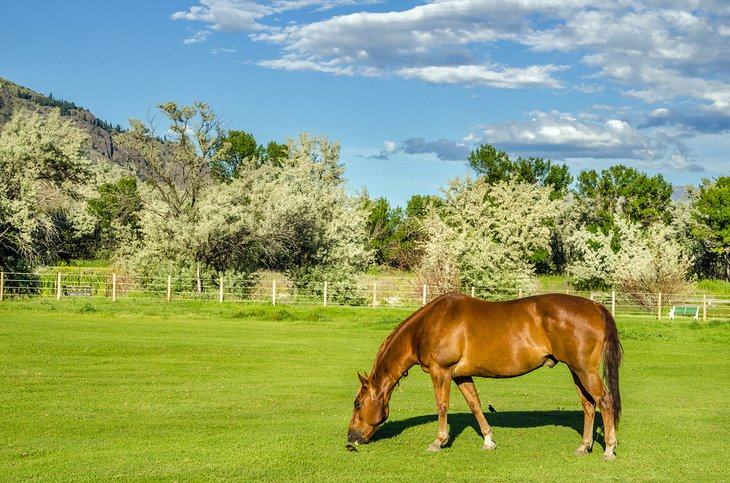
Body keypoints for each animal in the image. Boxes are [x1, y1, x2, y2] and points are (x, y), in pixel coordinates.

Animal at [346, 294, 620, 460]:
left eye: (358, 404)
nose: (351, 438)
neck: (429, 324)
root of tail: (594, 306)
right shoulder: (461, 375)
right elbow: (475, 404)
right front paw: (488, 440)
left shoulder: (441, 371)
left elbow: (442, 406)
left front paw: (439, 441)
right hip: (577, 371)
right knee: (588, 405)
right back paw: (584, 446)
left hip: (585, 371)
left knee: (604, 402)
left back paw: (609, 448)